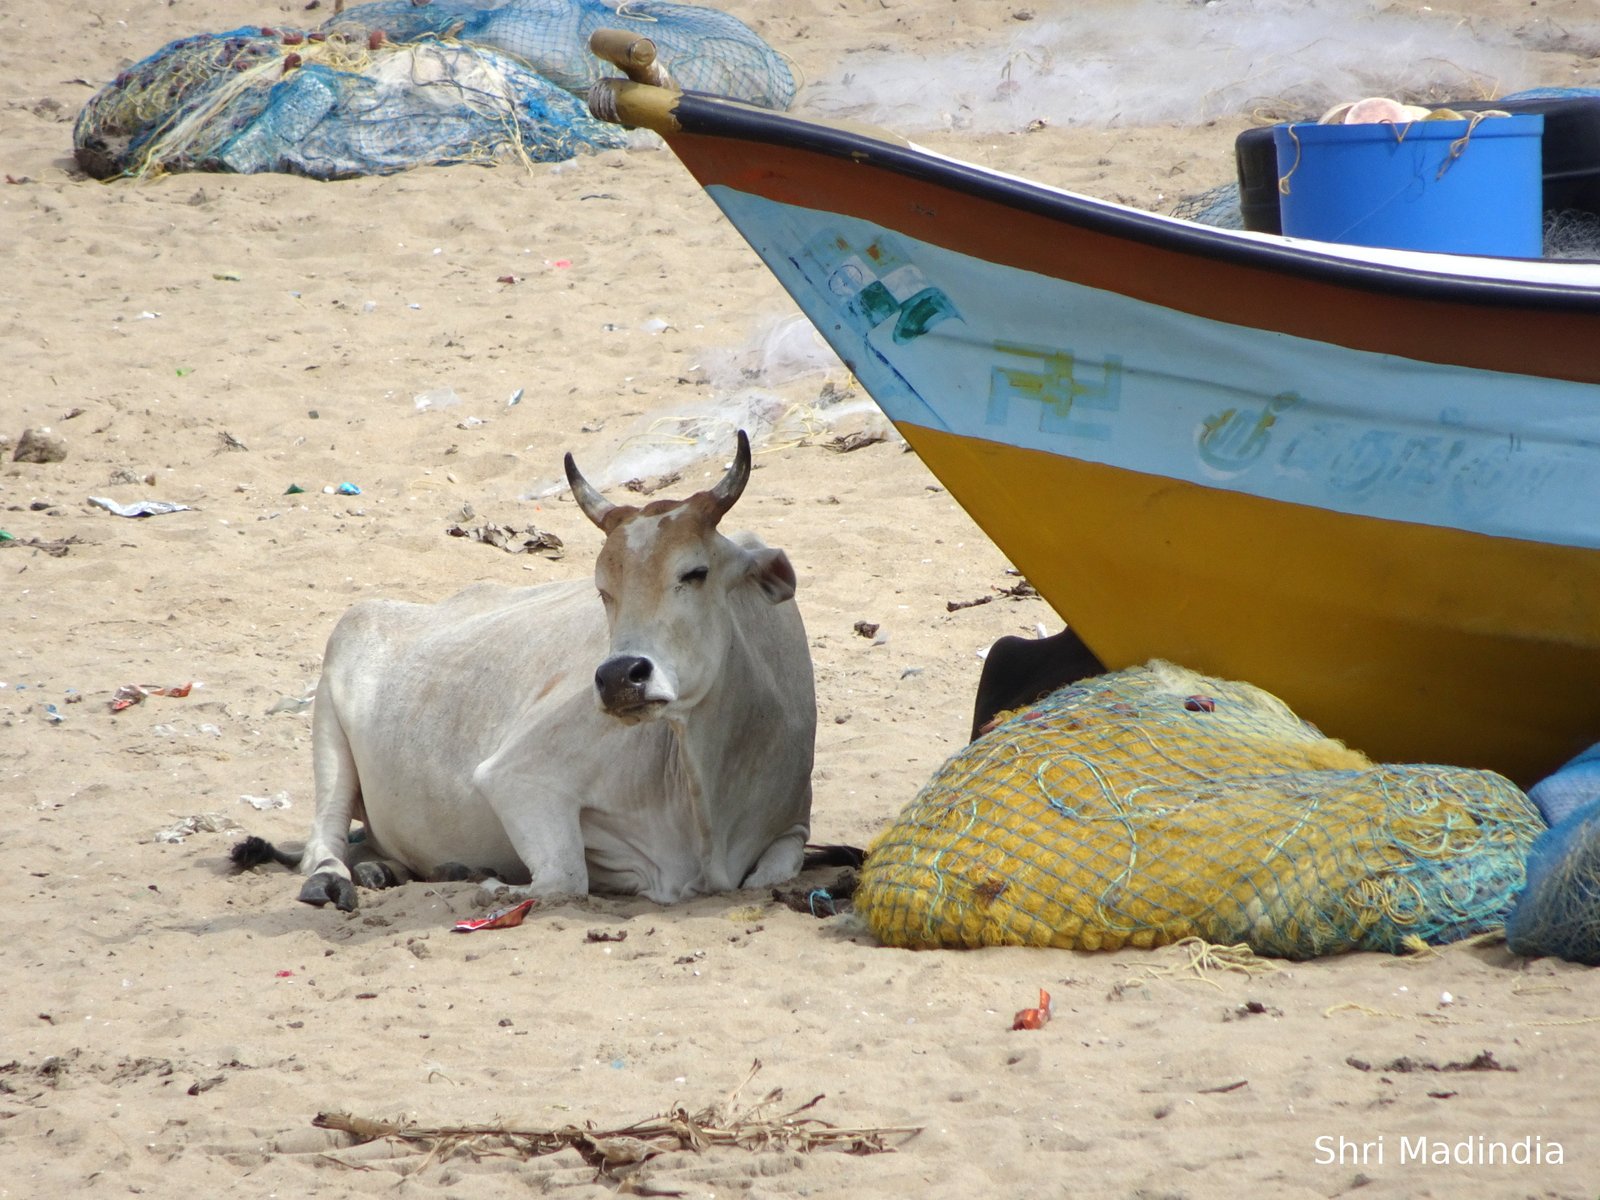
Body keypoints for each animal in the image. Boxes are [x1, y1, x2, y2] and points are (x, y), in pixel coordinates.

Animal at [243, 432, 819, 908]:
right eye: (602, 589)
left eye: (695, 572)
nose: (620, 678)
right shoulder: (518, 776)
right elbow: (565, 879)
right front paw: (494, 883)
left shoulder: (793, 826)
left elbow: (774, 872)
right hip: (328, 725)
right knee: (324, 837)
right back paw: (337, 877)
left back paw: (386, 869)